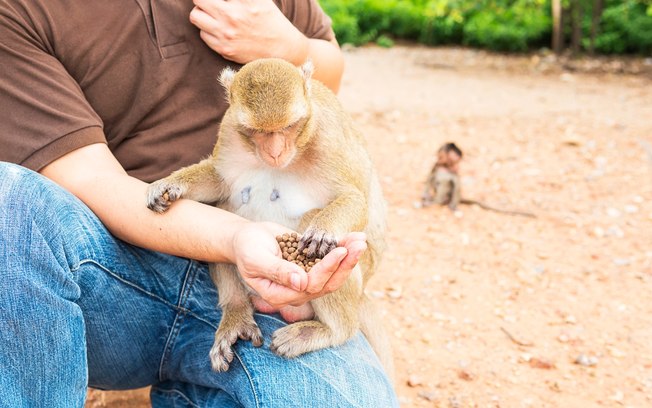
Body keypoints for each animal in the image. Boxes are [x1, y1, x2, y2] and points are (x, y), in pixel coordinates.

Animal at [146, 58, 392, 376]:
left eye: (288, 127)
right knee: (223, 209)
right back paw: (236, 310)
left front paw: (323, 230)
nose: (275, 153)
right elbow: (219, 182)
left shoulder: (327, 137)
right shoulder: (230, 130)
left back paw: (330, 331)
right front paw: (171, 185)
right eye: (256, 130)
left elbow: (355, 199)